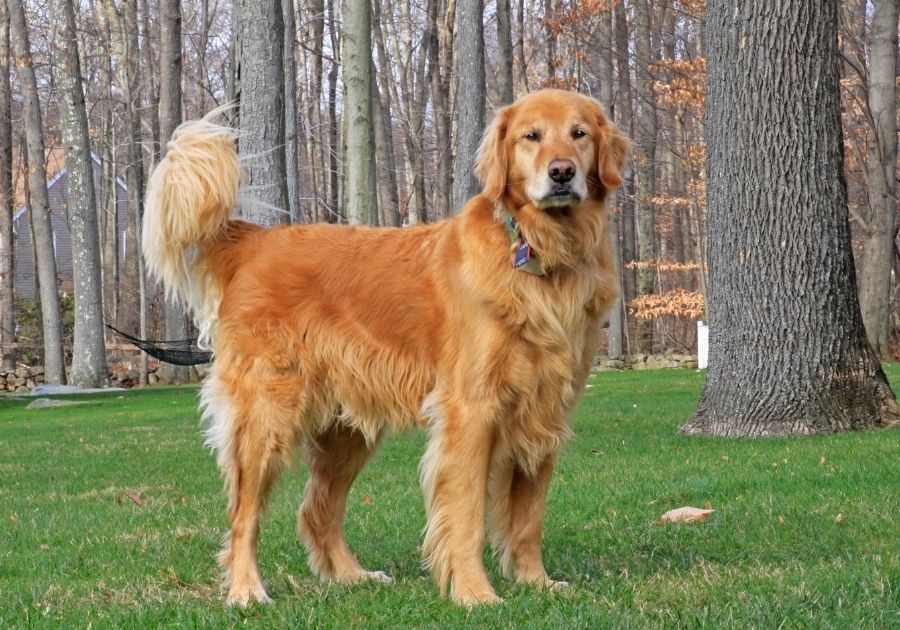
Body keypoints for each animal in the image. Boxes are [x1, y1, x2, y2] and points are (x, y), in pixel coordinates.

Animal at [144, 87, 628, 608]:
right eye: (530, 136)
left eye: (579, 133)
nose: (561, 172)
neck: (542, 256)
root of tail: (257, 241)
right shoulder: (471, 411)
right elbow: (466, 516)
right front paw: (474, 593)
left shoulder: (546, 411)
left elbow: (529, 517)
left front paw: (536, 582)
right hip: (266, 416)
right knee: (243, 515)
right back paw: (246, 589)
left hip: (347, 430)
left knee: (316, 510)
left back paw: (351, 576)